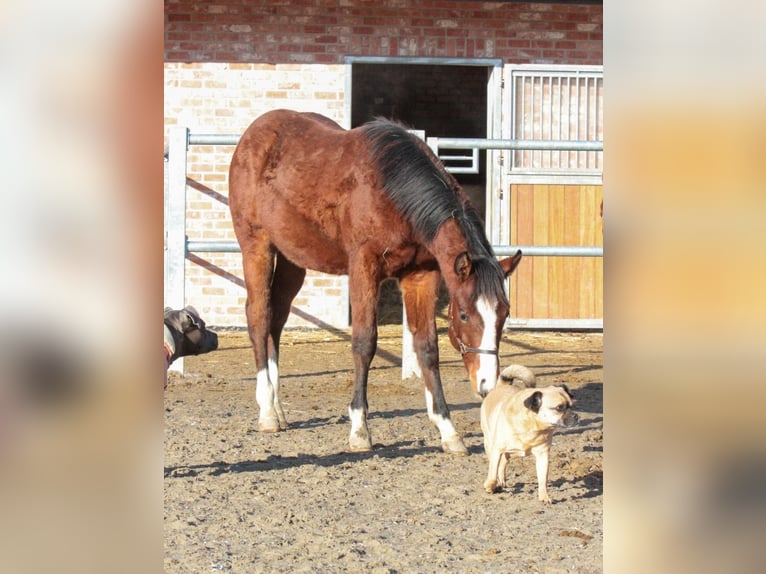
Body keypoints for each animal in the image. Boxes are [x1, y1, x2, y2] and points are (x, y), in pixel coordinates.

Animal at [228, 110, 520, 456]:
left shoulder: (421, 275)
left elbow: (427, 348)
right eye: (463, 314)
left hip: (292, 259)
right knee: (259, 318)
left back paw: (278, 407)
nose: (486, 384)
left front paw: (448, 430)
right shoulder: (364, 268)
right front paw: (359, 429)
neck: (393, 191)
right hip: (256, 246)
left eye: (503, 314)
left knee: (276, 319)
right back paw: (267, 413)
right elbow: (364, 342)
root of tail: (253, 133)